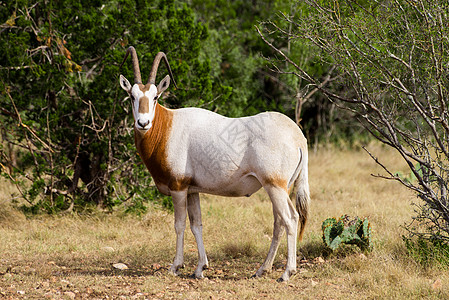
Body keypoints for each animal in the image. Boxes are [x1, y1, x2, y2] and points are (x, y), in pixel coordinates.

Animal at [117, 46, 310, 282]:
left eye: (155, 96)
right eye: (131, 96)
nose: (143, 123)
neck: (167, 126)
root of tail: (298, 137)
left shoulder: (178, 187)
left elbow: (179, 224)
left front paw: (176, 266)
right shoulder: (192, 190)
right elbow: (196, 225)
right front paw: (201, 268)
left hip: (275, 185)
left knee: (290, 219)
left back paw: (286, 273)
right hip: (280, 187)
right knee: (279, 223)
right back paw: (262, 270)